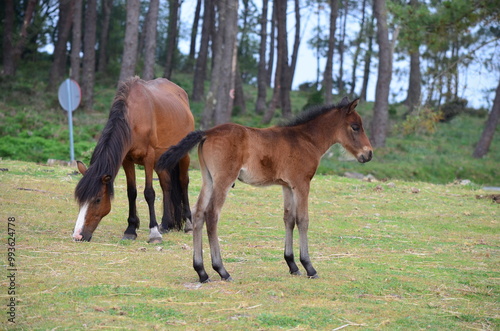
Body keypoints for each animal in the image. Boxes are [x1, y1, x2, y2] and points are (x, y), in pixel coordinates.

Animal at [73, 78, 194, 244]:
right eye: (80, 199)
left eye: (97, 200)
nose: (78, 236)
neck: (134, 119)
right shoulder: (127, 160)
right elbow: (132, 192)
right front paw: (131, 229)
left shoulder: (148, 158)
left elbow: (149, 193)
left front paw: (154, 233)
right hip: (162, 159)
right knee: (167, 185)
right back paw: (166, 224)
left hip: (183, 155)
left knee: (183, 183)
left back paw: (188, 224)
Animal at [158, 97, 374, 282]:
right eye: (355, 127)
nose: (368, 154)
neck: (306, 140)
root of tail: (207, 132)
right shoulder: (302, 184)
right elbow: (303, 220)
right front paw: (309, 267)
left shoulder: (287, 186)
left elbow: (289, 219)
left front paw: (292, 265)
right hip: (223, 180)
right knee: (211, 215)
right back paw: (222, 270)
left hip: (208, 179)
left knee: (198, 214)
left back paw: (201, 272)